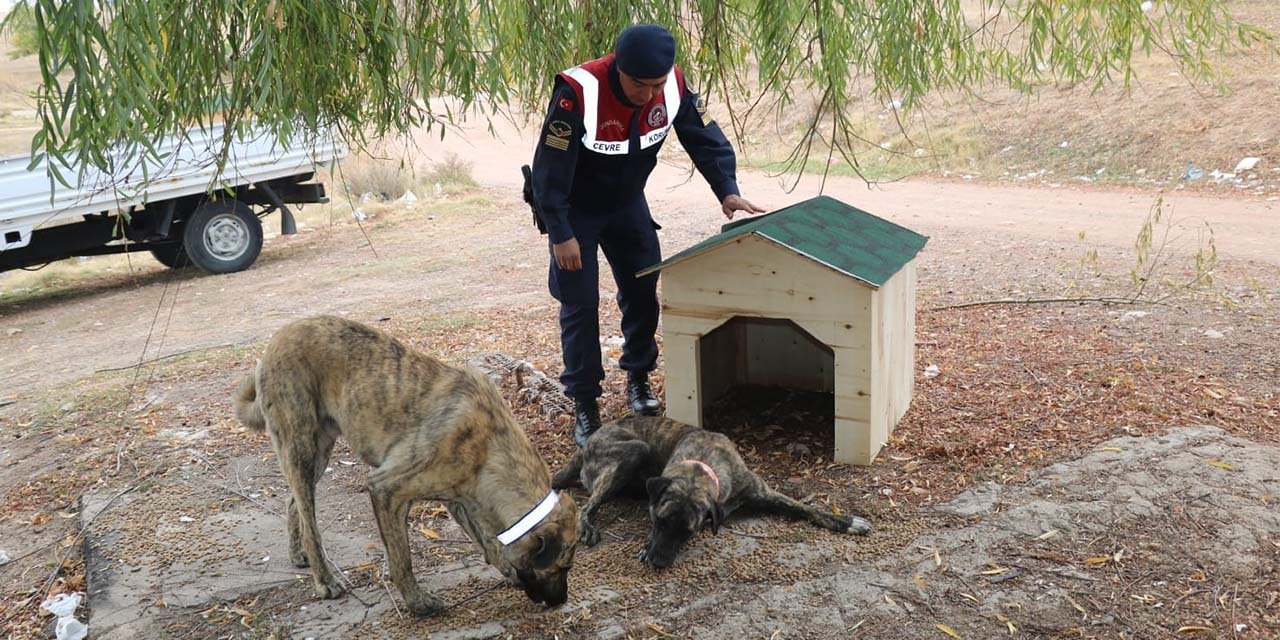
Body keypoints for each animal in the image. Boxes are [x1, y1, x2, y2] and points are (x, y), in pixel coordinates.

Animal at [235, 314, 581, 614]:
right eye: (564, 566)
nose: (561, 601)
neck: (489, 446)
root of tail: (276, 339)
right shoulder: (386, 489)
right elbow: (402, 559)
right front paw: (417, 603)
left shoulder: (461, 499)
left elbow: (487, 541)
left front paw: (505, 569)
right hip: (302, 445)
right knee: (310, 524)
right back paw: (324, 580)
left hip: (318, 453)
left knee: (294, 503)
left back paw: (298, 554)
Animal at [550, 414, 870, 570]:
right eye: (659, 522)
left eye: (688, 532)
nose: (658, 562)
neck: (703, 464)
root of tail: (585, 446)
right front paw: (646, 545)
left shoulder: (764, 492)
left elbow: (808, 508)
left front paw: (848, 522)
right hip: (631, 452)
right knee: (587, 505)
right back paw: (587, 526)